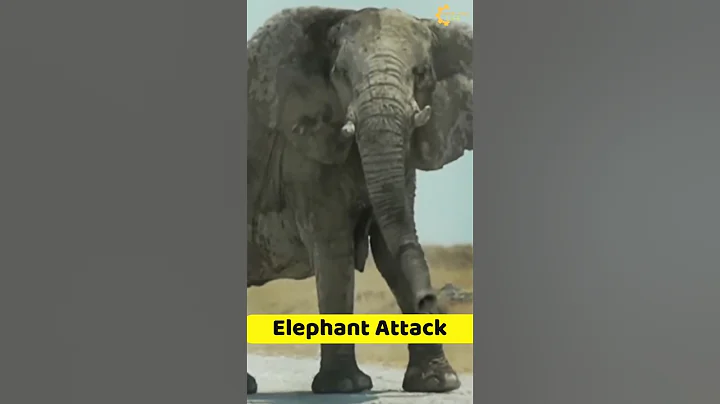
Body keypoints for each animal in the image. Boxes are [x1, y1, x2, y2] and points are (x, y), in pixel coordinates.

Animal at [247, 6, 472, 394]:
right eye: (340, 74)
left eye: (421, 73)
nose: (430, 298)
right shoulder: (305, 152)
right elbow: (334, 249)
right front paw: (346, 387)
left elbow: (391, 248)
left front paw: (438, 383)